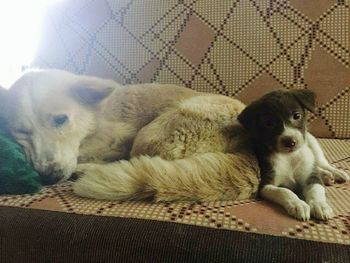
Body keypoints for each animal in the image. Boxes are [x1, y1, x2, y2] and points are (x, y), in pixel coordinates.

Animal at [237, 89, 348, 222]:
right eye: (268, 123)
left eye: (296, 116)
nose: (290, 142)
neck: (289, 157)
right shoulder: (265, 185)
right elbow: (284, 191)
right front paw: (298, 204)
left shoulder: (311, 178)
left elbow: (316, 190)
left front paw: (320, 205)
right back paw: (325, 176)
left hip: (312, 143)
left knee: (321, 162)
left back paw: (336, 173)